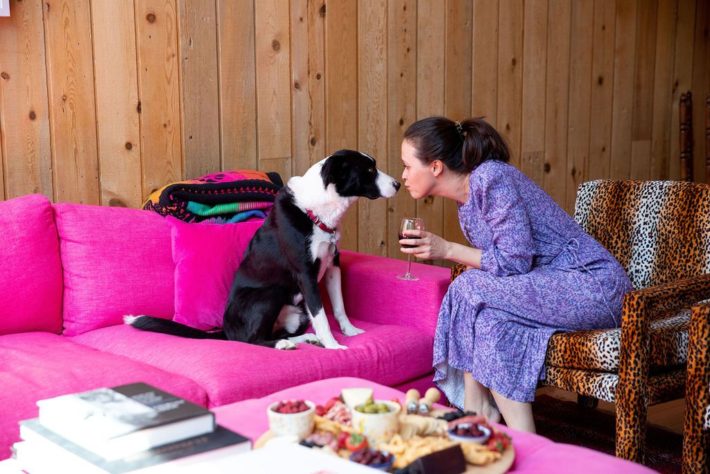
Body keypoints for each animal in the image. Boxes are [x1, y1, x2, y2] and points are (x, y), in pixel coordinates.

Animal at [127, 150, 400, 350]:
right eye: (369, 171)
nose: (398, 184)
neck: (316, 211)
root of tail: (226, 331)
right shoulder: (306, 276)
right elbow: (322, 316)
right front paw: (334, 346)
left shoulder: (333, 265)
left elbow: (340, 306)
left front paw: (350, 331)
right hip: (270, 293)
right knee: (253, 339)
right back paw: (282, 345)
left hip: (297, 311)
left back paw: (303, 339)